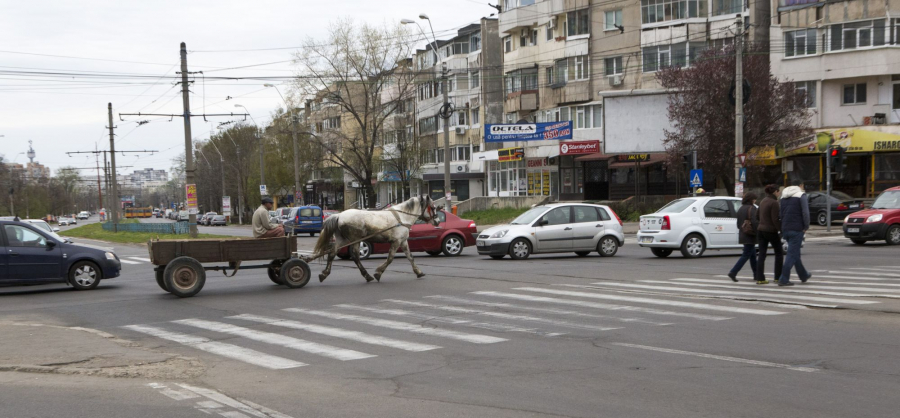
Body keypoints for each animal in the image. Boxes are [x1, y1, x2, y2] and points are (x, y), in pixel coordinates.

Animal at [312, 197, 442, 282]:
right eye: (433, 207)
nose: (437, 221)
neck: (402, 217)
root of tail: (339, 215)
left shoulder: (403, 241)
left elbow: (410, 257)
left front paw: (419, 272)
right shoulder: (396, 242)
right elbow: (390, 258)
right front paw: (378, 273)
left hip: (342, 240)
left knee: (332, 254)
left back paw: (324, 274)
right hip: (355, 240)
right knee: (355, 257)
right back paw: (367, 275)